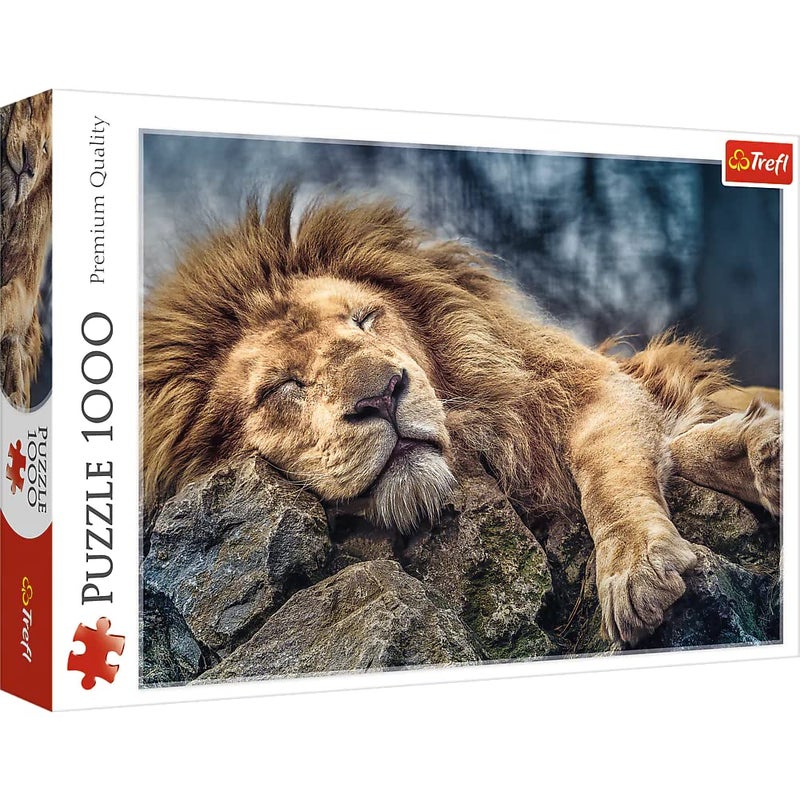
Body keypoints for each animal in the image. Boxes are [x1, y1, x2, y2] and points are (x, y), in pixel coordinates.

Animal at [142, 187, 782, 647]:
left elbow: (612, 474)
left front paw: (638, 566)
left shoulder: (588, 386)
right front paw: (755, 454)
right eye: (283, 387)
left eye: (365, 319)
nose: (382, 395)